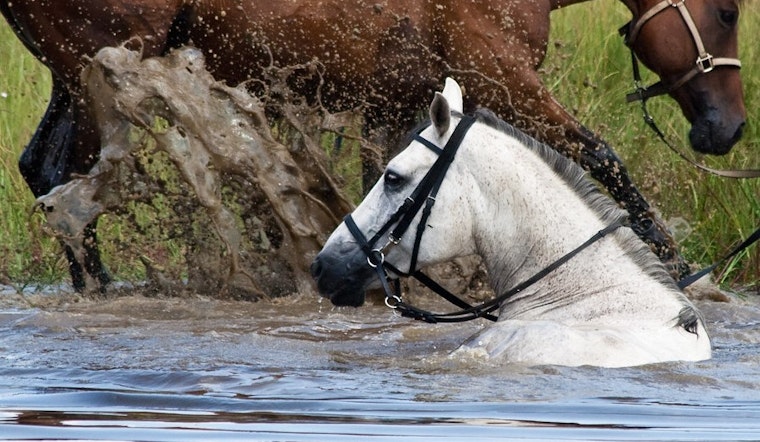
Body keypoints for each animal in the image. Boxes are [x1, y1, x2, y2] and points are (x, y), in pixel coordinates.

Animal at [0, 0, 745, 292]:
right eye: (729, 11)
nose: (730, 128)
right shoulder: (503, 78)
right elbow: (601, 158)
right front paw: (686, 275)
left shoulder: (396, 102)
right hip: (99, 70)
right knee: (63, 176)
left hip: (78, 75)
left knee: (44, 170)